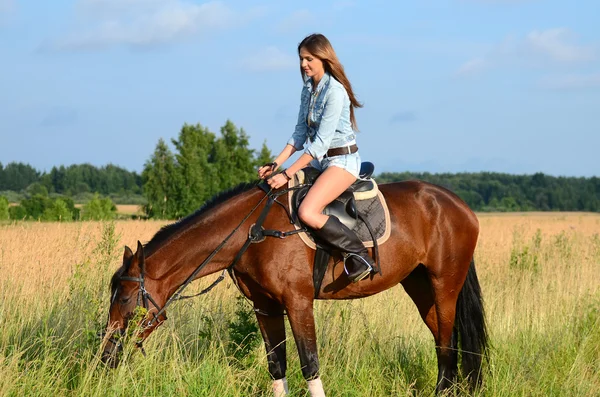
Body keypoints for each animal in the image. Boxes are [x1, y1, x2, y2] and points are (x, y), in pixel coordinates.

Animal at [102, 178, 488, 394]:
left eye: (125, 298)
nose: (106, 356)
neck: (251, 233)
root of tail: (457, 204)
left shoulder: (298, 302)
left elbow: (310, 364)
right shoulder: (266, 307)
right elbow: (277, 366)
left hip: (444, 285)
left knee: (448, 343)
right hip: (420, 286)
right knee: (442, 339)